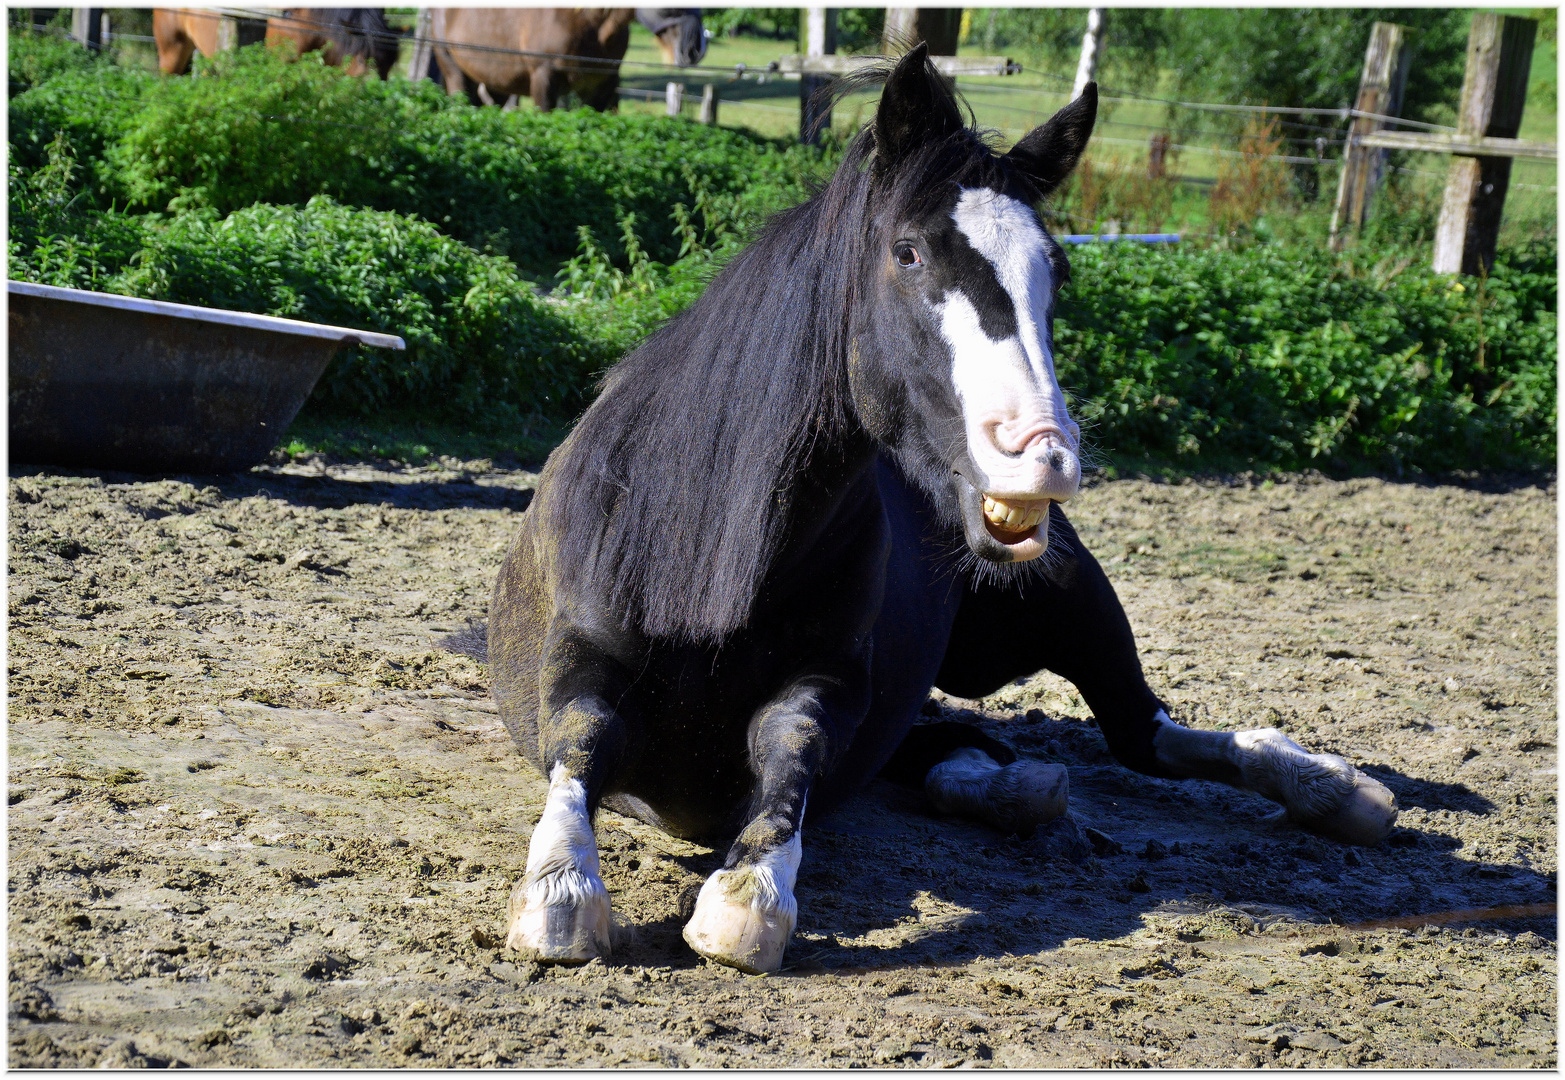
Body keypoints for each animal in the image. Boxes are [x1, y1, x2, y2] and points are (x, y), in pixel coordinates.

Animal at [472, 46, 1395, 970]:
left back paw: (1327, 787)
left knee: (1145, 734)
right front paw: (562, 888)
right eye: (908, 253)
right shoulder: (579, 662)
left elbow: (793, 746)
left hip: (1065, 600)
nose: (1042, 454)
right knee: (961, 747)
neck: (697, 538)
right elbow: (579, 742)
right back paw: (1008, 782)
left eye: (1056, 271)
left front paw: (749, 894)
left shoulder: (830, 686)